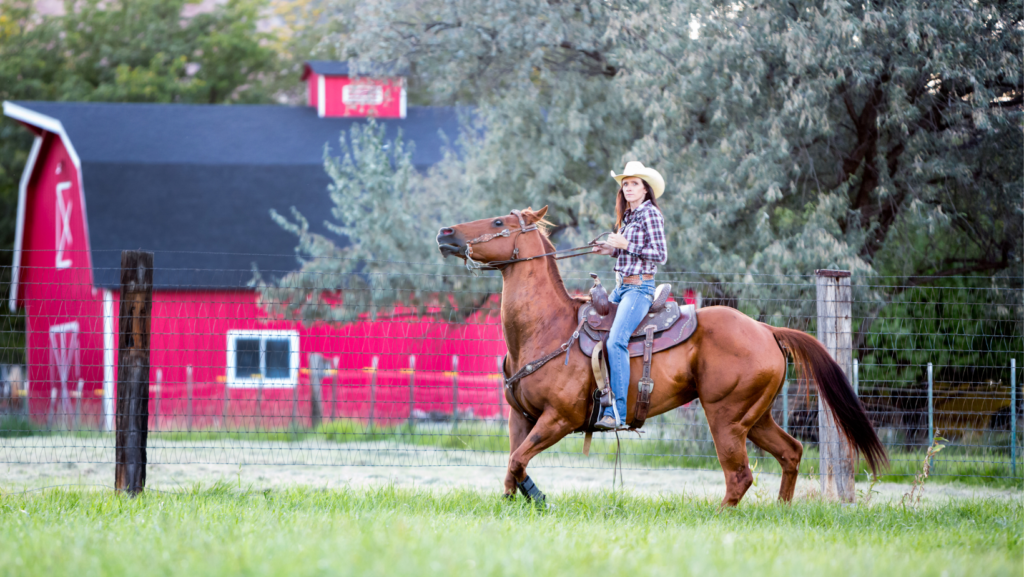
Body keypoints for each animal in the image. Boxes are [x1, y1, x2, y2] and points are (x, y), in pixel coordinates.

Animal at [436, 206, 887, 506]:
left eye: (498, 222)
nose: (445, 231)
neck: (547, 329)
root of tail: (765, 330)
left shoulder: (557, 420)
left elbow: (517, 461)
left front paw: (537, 497)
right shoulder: (522, 417)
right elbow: (513, 464)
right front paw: (523, 499)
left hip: (725, 417)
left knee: (739, 476)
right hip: (755, 417)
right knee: (790, 452)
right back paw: (781, 510)